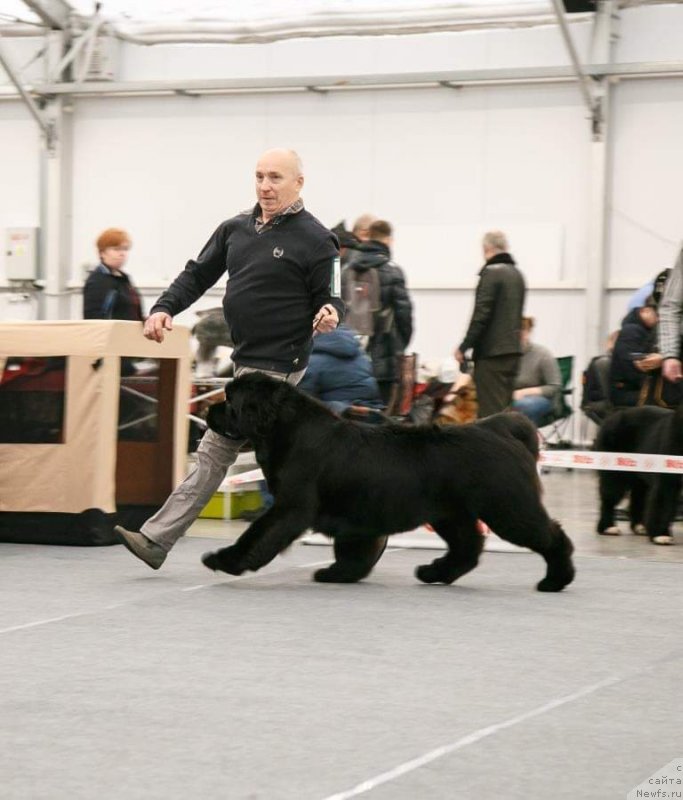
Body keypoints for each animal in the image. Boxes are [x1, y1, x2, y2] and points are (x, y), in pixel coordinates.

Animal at [200, 372, 576, 592]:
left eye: (230, 401)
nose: (207, 411)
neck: (286, 429)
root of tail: (500, 427)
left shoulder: (291, 507)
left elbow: (257, 536)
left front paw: (224, 560)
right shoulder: (356, 519)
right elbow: (354, 552)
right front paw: (338, 574)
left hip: (508, 509)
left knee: (552, 537)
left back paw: (555, 580)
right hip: (450, 514)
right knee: (468, 547)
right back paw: (432, 573)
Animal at [596, 404, 680, 548]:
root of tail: (612, 416)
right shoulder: (667, 479)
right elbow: (663, 503)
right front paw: (661, 535)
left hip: (640, 478)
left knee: (638, 497)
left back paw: (640, 527)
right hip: (615, 473)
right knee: (609, 498)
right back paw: (608, 528)